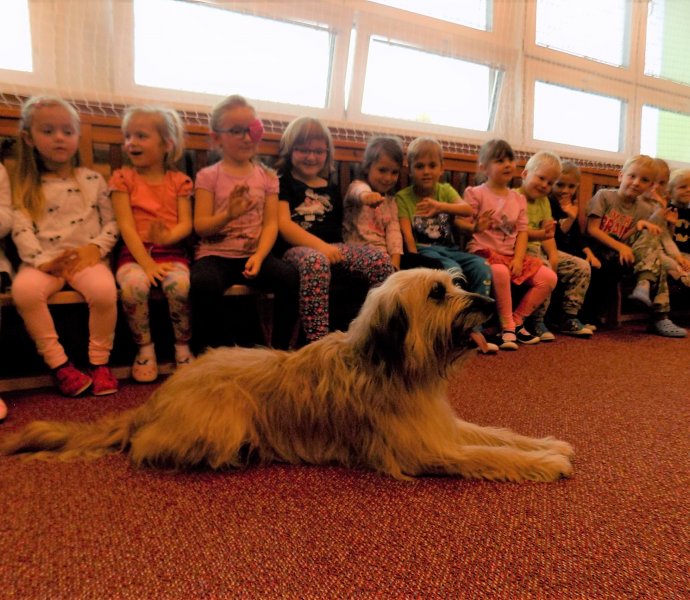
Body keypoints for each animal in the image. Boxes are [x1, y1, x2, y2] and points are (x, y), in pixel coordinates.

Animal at [0, 268, 573, 482]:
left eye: (453, 284)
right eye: (437, 293)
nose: (485, 304)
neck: (391, 364)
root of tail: (153, 403)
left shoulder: (442, 425)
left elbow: (496, 435)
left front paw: (547, 444)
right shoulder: (426, 450)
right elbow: (488, 455)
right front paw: (545, 464)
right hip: (226, 414)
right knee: (149, 449)